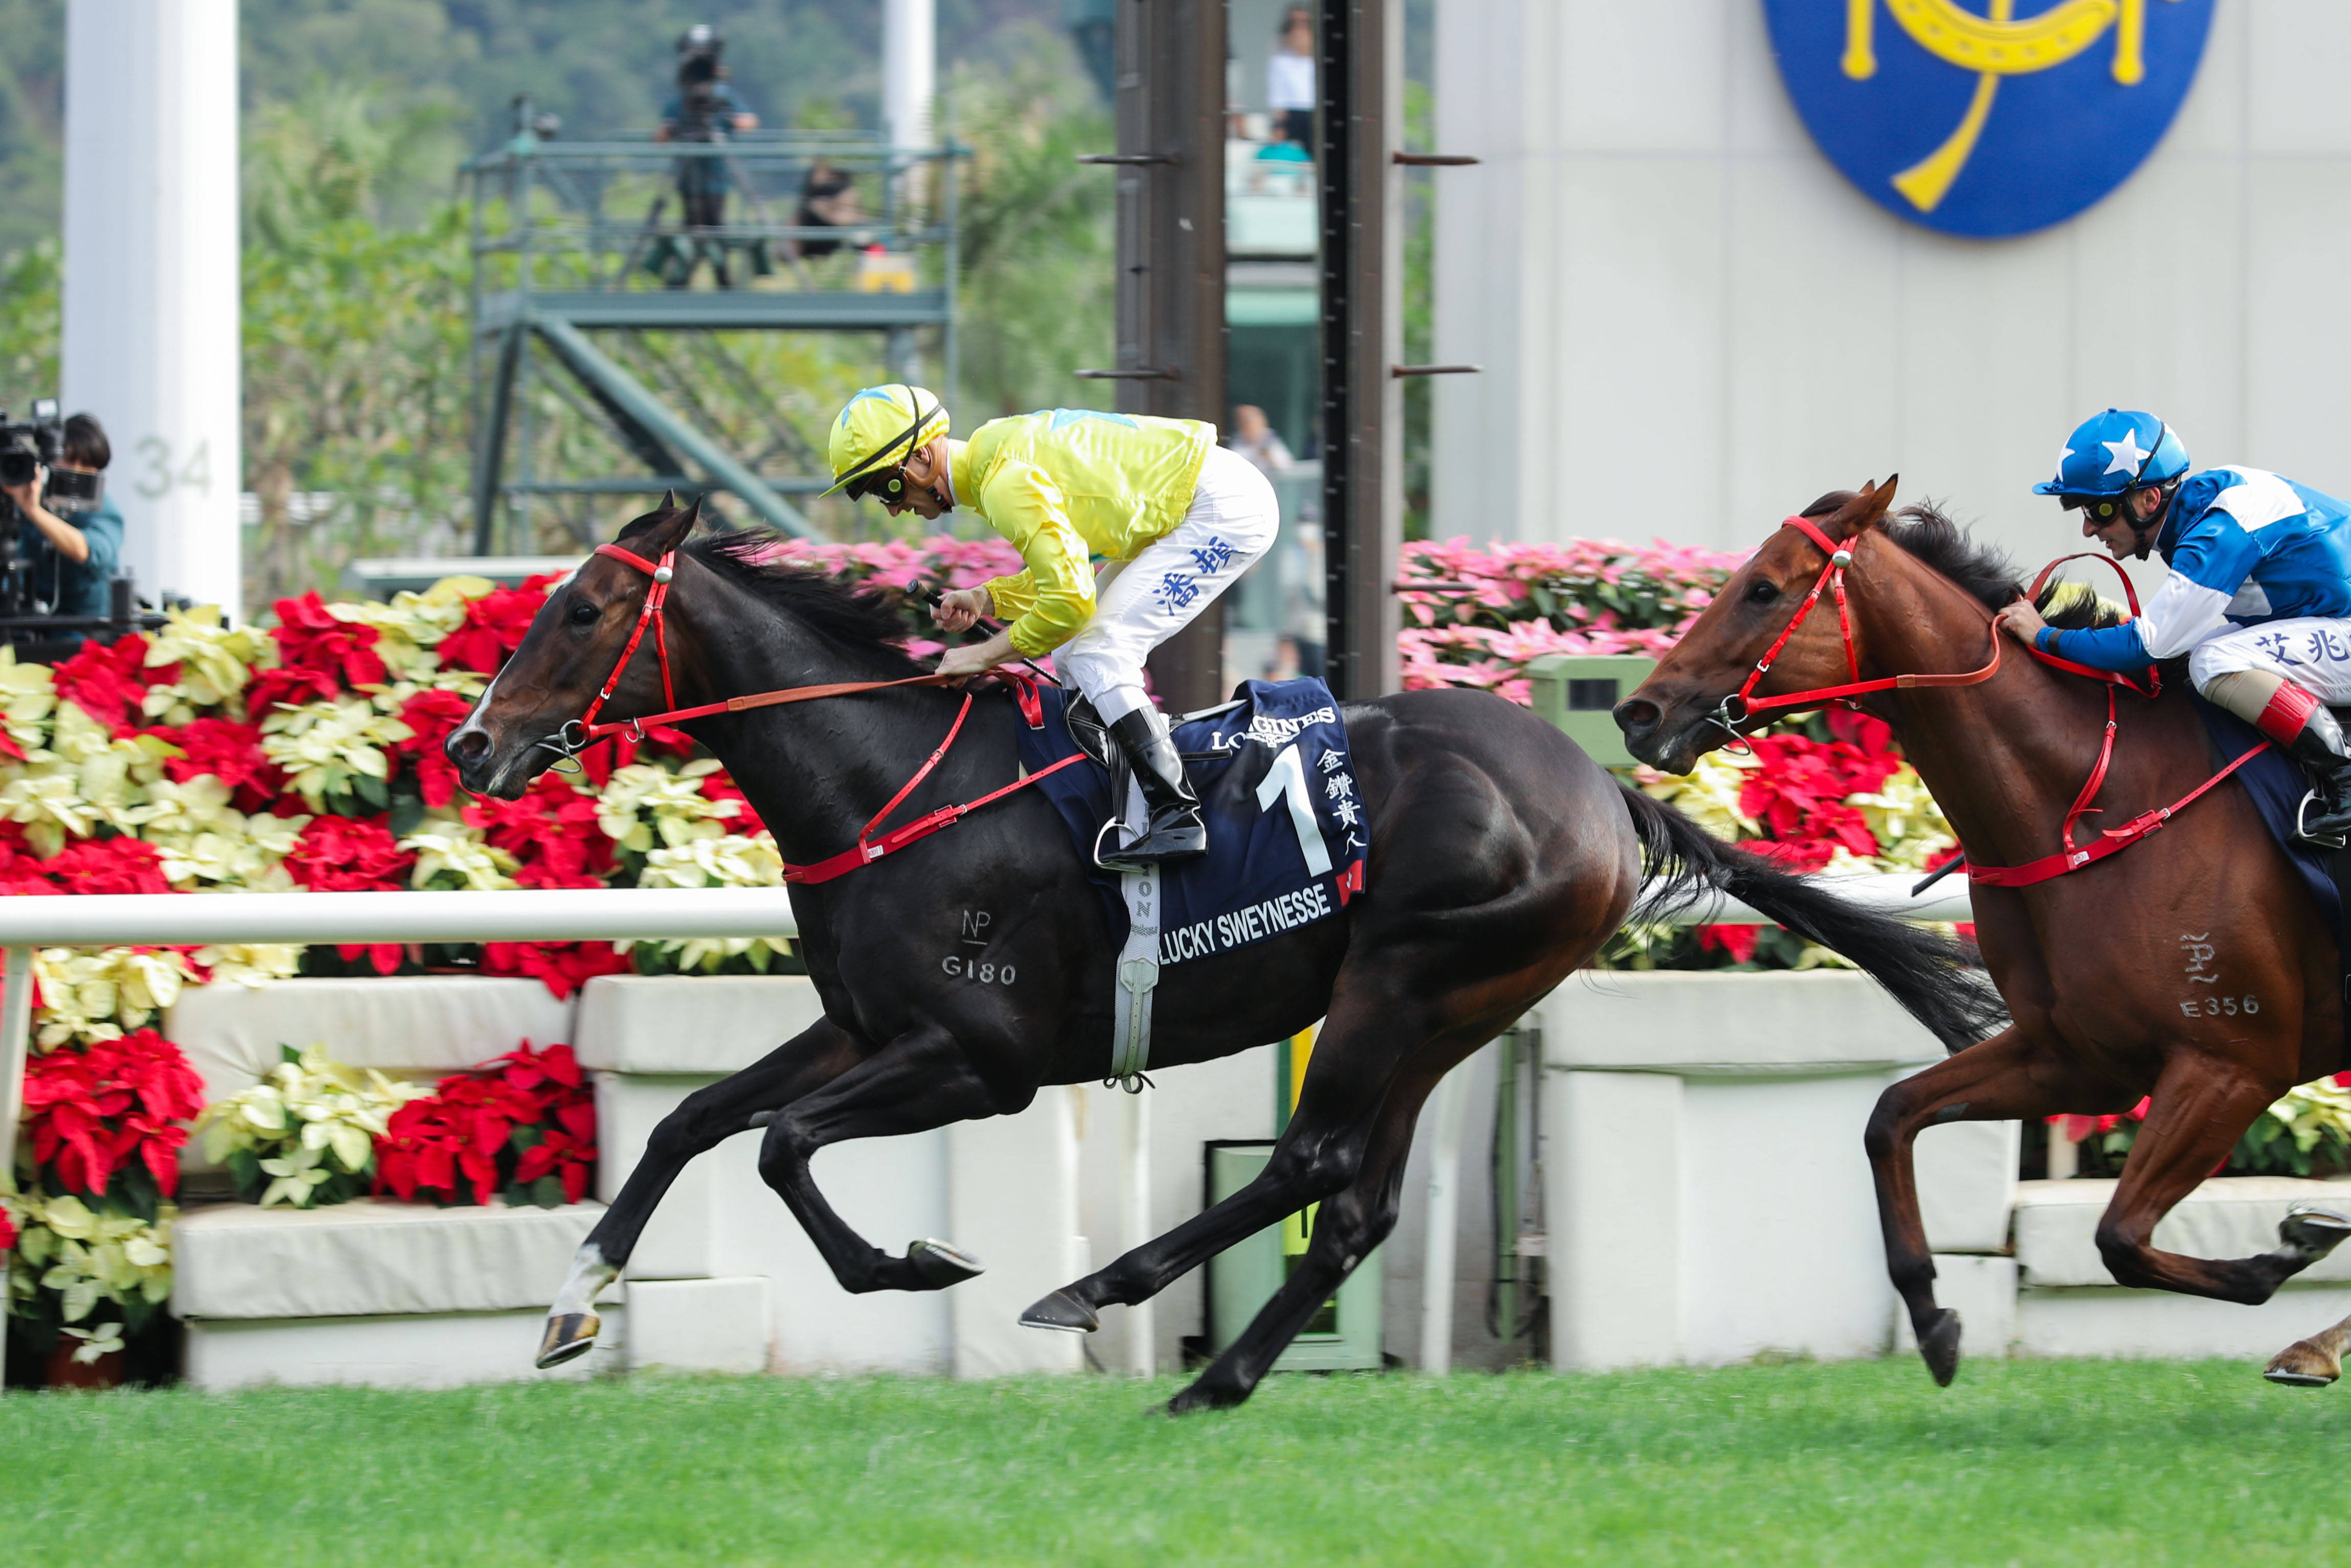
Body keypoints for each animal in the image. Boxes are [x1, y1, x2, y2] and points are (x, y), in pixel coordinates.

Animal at [444, 503, 2003, 1410]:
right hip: (1446, 1010)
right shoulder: (862, 1025)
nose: (469, 743)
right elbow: (698, 1123)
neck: (883, 782)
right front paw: (570, 1309)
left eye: (580, 612)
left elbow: (779, 1148)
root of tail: (1597, 785)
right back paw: (1217, 1378)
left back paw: (1102, 1292)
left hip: (1403, 984)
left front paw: (915, 1263)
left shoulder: (981, 1059)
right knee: (1355, 1201)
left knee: (1311, 1166)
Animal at [1627, 482, 2351, 1382]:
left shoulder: (2233, 1065)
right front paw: (1933, 1317)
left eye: (1762, 587)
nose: (1638, 711)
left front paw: (2288, 1260)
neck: (2094, 805)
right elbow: (1890, 1114)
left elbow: (2120, 1237)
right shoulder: (2080, 1059)